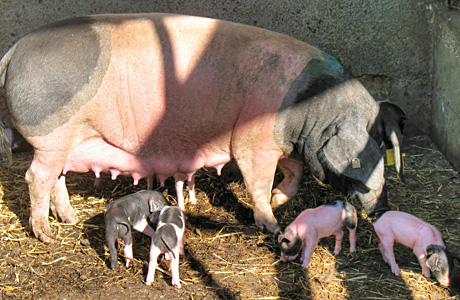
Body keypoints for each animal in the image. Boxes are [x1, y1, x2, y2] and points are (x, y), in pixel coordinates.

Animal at [0, 13, 402, 244]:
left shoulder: (286, 143)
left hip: (65, 142)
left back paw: (68, 219)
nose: (383, 207)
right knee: (36, 176)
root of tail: (14, 49)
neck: (311, 112)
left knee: (55, 178)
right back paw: (46, 235)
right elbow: (256, 180)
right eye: (365, 160)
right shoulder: (255, 141)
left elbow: (295, 172)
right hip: (52, 135)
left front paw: (278, 199)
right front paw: (271, 225)